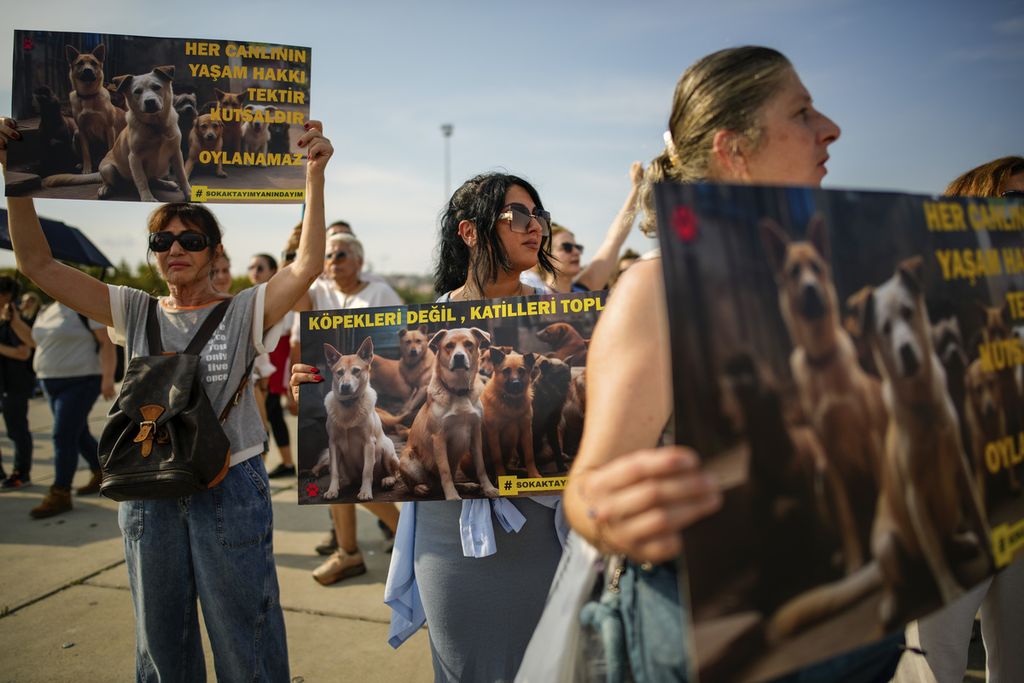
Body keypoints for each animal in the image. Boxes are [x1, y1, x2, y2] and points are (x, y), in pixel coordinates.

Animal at [395, 327, 499, 499]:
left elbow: (481, 466)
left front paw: (488, 488)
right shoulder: (439, 438)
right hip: (408, 461)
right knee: (414, 485)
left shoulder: (475, 434)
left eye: (468, 344)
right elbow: (445, 473)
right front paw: (451, 496)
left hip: (455, 460)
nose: (459, 357)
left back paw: (466, 486)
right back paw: (422, 488)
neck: (459, 391)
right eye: (449, 346)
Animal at [481, 350, 540, 479]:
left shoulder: (526, 431)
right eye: (506, 371)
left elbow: (529, 456)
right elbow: (497, 458)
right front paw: (501, 477)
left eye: (521, 370)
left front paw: (533, 474)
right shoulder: (493, 433)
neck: (511, 401)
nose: (516, 383)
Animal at [761, 218, 888, 573]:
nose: (810, 289)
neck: (822, 358)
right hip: (821, 485)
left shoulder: (871, 440)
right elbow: (846, 519)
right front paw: (855, 561)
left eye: (816, 268)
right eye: (793, 272)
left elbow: (883, 492)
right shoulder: (828, 458)